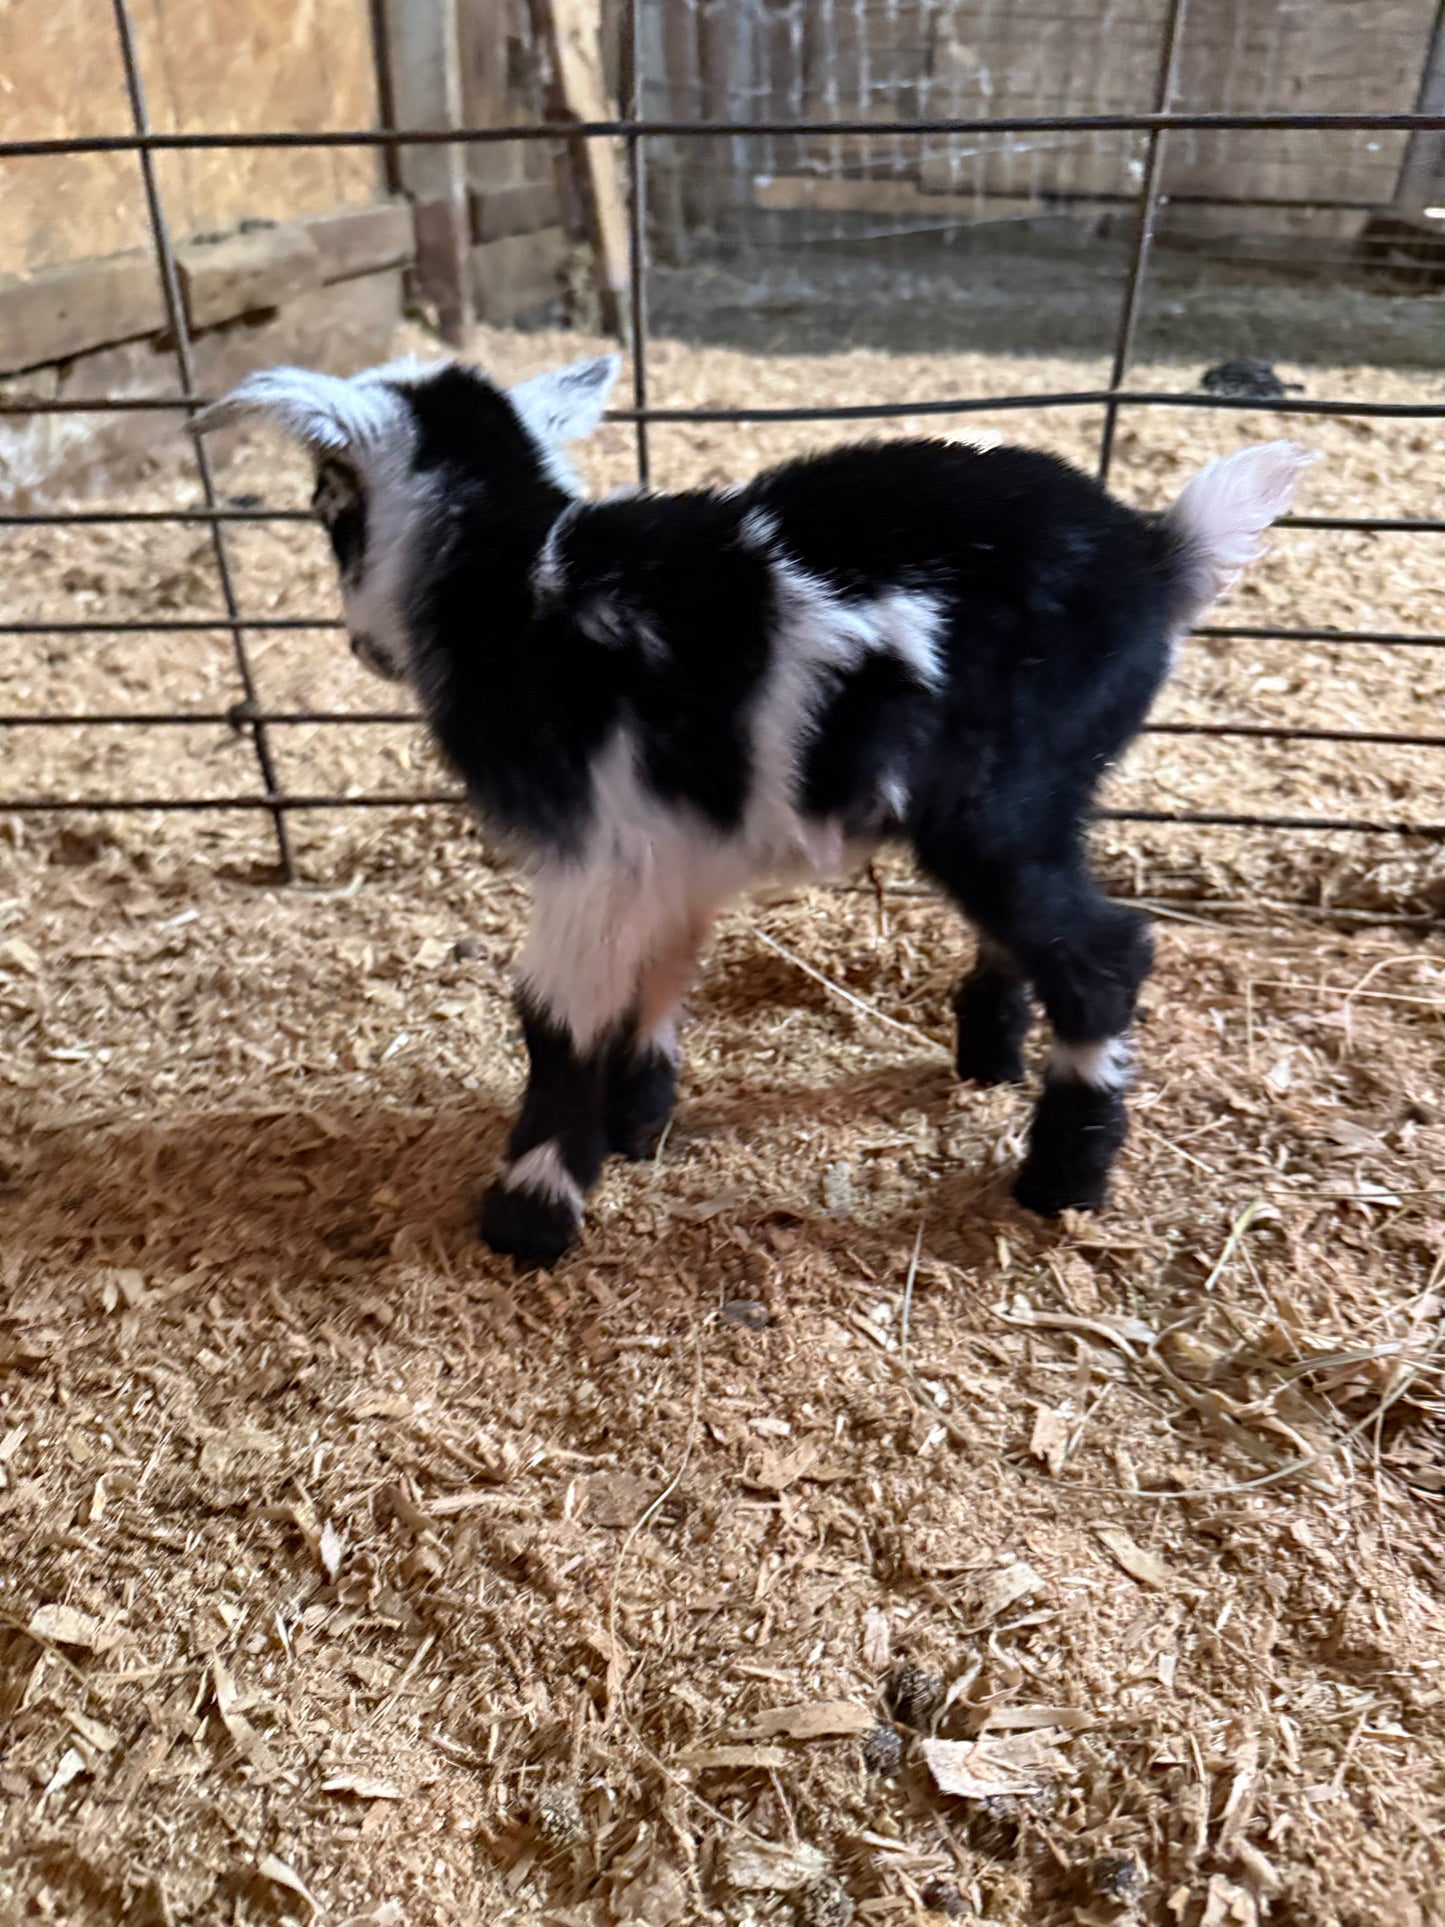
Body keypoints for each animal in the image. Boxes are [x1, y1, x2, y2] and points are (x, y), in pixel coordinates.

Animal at [195, 354, 1311, 1270]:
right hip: (1045, 790)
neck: (514, 580)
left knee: (1102, 951)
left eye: (327, 506)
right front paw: (636, 1127)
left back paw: (1061, 1177)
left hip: (993, 793)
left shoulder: (594, 849)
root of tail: (1156, 554)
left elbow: (557, 1018)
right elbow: (656, 980)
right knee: (1031, 922)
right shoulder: (667, 845)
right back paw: (991, 1060)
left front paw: (530, 1211)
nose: (364, 647)